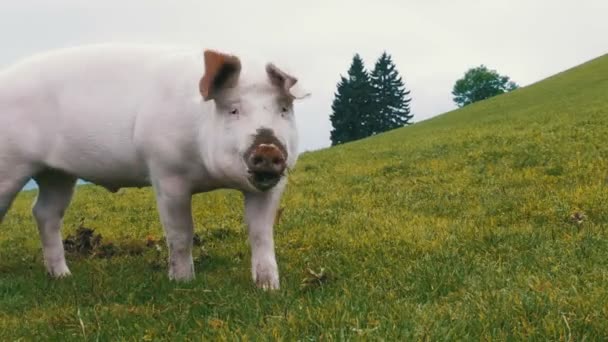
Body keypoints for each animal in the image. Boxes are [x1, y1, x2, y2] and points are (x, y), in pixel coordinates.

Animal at [0, 42, 312, 288]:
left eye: (284, 109)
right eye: (233, 110)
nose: (268, 147)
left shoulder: (274, 184)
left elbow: (261, 232)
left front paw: (269, 288)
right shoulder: (166, 172)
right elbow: (180, 232)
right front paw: (183, 282)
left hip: (57, 174)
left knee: (44, 212)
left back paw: (63, 276)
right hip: (10, 166)